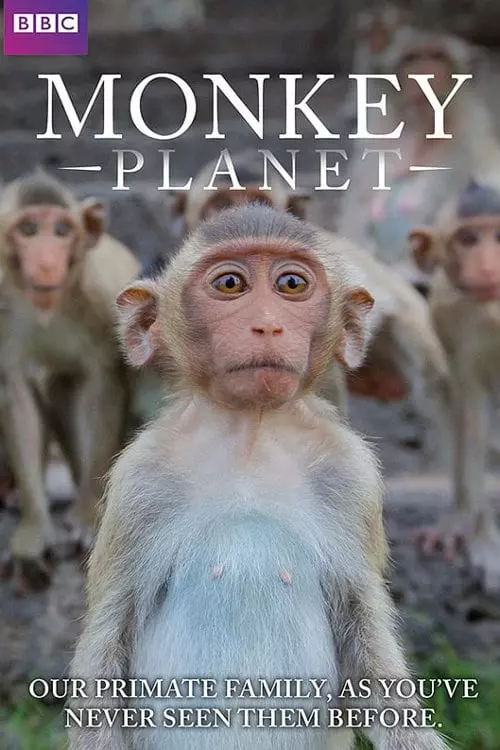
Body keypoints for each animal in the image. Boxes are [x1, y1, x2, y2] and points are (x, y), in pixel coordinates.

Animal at [0, 170, 141, 591]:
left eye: (62, 231)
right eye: (29, 230)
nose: (47, 262)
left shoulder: (101, 302)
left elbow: (102, 385)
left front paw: (88, 518)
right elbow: (17, 395)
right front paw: (34, 530)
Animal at [69, 204, 450, 750]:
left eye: (292, 284)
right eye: (230, 284)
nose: (267, 326)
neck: (251, 435)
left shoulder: (350, 476)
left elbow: (369, 648)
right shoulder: (140, 481)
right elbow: (107, 640)